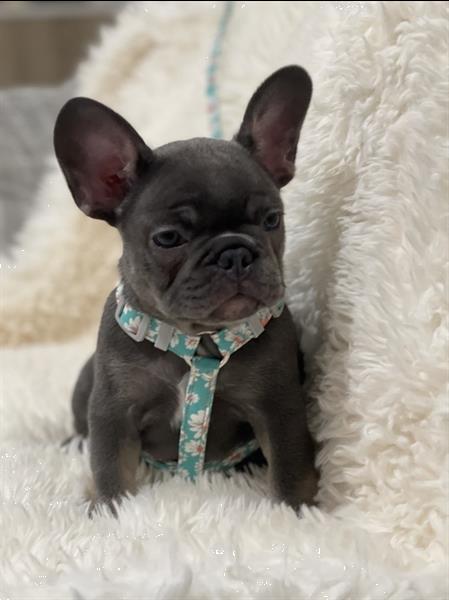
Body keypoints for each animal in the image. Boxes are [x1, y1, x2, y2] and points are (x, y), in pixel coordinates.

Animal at [54, 65, 318, 514]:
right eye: (169, 238)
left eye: (272, 220)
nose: (234, 253)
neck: (197, 342)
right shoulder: (112, 413)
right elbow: (110, 470)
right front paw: (110, 513)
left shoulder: (278, 407)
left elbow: (289, 468)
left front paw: (296, 513)